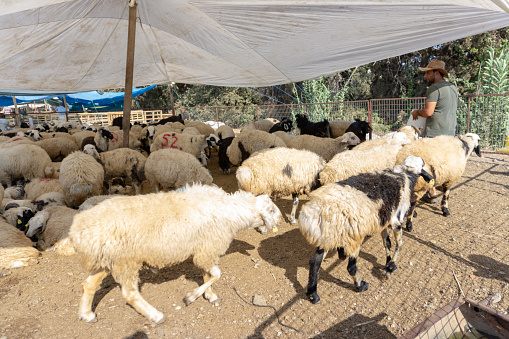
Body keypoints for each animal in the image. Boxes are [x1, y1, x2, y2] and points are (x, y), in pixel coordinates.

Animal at [68, 183, 282, 324]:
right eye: (272, 210)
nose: (280, 221)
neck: (230, 211)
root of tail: (78, 230)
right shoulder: (207, 249)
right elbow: (216, 274)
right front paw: (191, 297)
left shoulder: (205, 249)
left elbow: (208, 275)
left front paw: (210, 295)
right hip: (125, 261)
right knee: (129, 293)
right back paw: (155, 315)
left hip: (109, 260)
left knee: (88, 285)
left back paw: (86, 314)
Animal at [298, 157, 432, 302]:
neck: (404, 174)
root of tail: (314, 211)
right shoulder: (397, 220)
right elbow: (399, 245)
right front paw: (390, 268)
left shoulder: (383, 221)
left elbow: (387, 243)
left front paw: (387, 262)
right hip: (353, 238)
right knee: (351, 267)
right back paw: (361, 285)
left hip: (328, 236)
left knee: (314, 263)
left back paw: (313, 294)